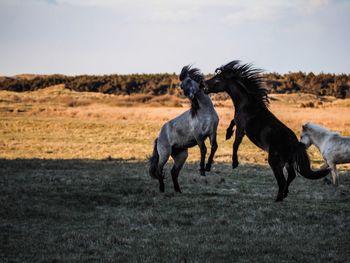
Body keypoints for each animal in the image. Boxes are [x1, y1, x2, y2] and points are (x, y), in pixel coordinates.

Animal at [148, 66, 219, 194]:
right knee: (159, 169)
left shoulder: (212, 133)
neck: (205, 112)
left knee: (173, 172)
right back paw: (162, 189)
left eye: (190, 80)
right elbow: (204, 149)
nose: (190, 95)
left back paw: (178, 191)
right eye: (181, 86)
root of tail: (158, 138)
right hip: (165, 154)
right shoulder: (198, 135)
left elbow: (214, 147)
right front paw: (202, 170)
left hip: (181, 156)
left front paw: (208, 166)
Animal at [204, 61, 330, 202]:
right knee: (291, 176)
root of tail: (294, 143)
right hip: (288, 162)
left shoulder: (242, 128)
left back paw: (278, 198)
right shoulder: (238, 122)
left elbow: (235, 144)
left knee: (282, 180)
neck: (248, 104)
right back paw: (284, 194)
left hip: (275, 162)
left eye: (218, 79)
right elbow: (232, 123)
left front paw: (234, 163)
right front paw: (227, 134)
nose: (204, 85)